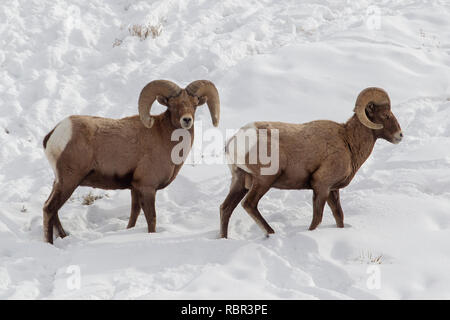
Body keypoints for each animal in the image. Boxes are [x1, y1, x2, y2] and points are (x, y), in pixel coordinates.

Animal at [42, 79, 220, 242]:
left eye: (195, 104)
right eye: (172, 105)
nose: (187, 120)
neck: (166, 139)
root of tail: (56, 133)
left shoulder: (135, 188)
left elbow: (133, 215)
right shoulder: (147, 188)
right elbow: (151, 219)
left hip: (59, 182)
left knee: (53, 209)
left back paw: (64, 236)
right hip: (69, 181)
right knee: (49, 209)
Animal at [221, 87, 404, 238]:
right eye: (386, 115)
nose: (400, 135)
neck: (348, 141)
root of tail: (236, 140)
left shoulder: (332, 190)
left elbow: (339, 217)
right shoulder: (321, 186)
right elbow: (316, 219)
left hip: (240, 181)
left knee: (225, 209)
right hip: (264, 180)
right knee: (249, 204)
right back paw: (270, 233)